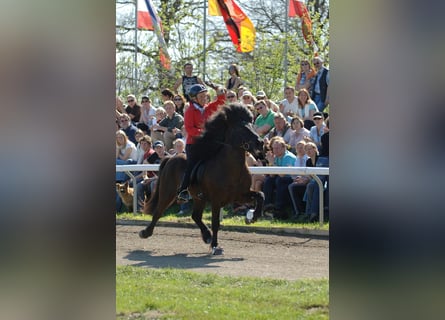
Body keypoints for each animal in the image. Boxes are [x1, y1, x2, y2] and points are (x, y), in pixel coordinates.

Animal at [139, 104, 264, 254]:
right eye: (241, 128)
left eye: (252, 125)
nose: (260, 143)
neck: (231, 168)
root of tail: (171, 157)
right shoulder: (217, 200)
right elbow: (215, 223)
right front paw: (215, 246)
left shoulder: (240, 195)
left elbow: (261, 195)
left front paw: (253, 217)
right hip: (168, 193)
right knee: (158, 212)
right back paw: (145, 232)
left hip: (199, 198)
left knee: (195, 216)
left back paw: (207, 236)